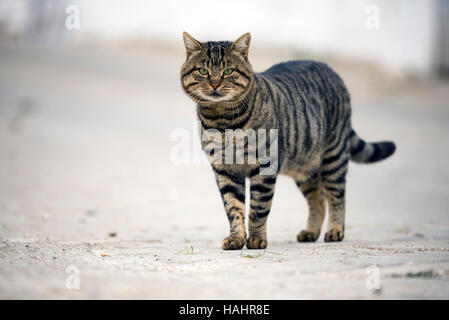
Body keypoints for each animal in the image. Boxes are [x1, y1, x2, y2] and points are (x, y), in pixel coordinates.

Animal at [180, 31, 394, 250]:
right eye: (203, 71)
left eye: (228, 71)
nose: (215, 83)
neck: (222, 121)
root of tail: (330, 69)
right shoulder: (225, 170)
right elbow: (233, 208)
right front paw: (236, 238)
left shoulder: (264, 166)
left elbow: (258, 208)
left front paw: (256, 239)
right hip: (305, 168)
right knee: (318, 199)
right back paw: (310, 232)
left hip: (334, 158)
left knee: (337, 197)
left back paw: (335, 230)